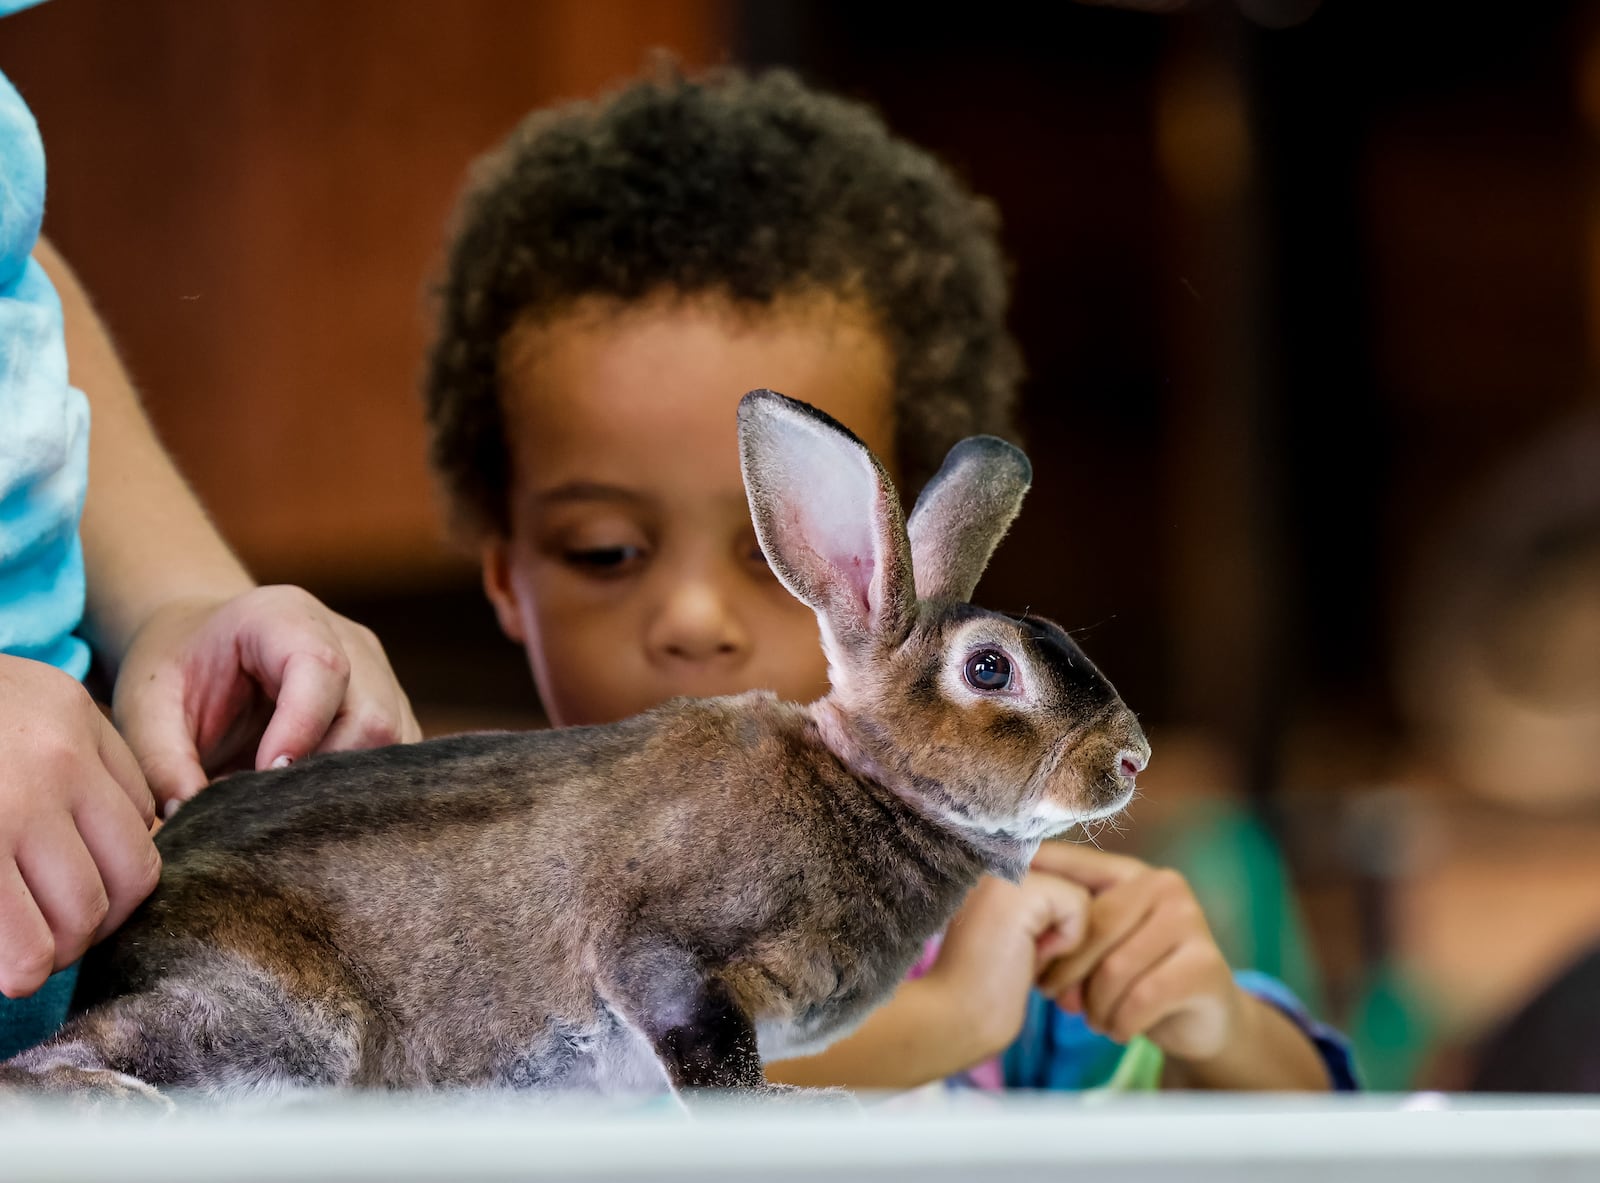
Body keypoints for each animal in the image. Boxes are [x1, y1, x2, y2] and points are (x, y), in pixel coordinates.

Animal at [3, 393, 1152, 1107]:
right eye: (990, 669)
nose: (1131, 758)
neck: (863, 783)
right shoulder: (669, 951)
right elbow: (703, 1044)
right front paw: (798, 1105)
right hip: (280, 1022)